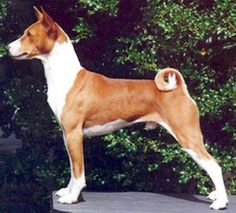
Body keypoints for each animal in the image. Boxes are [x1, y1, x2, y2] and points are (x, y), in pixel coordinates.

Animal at [8, 7, 228, 210]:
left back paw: (221, 201)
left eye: (29, 34)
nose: (7, 47)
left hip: (188, 136)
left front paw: (72, 197)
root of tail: (180, 89)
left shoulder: (74, 134)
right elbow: (72, 169)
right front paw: (67, 192)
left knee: (214, 166)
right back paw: (217, 196)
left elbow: (78, 172)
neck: (66, 77)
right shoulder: (67, 134)